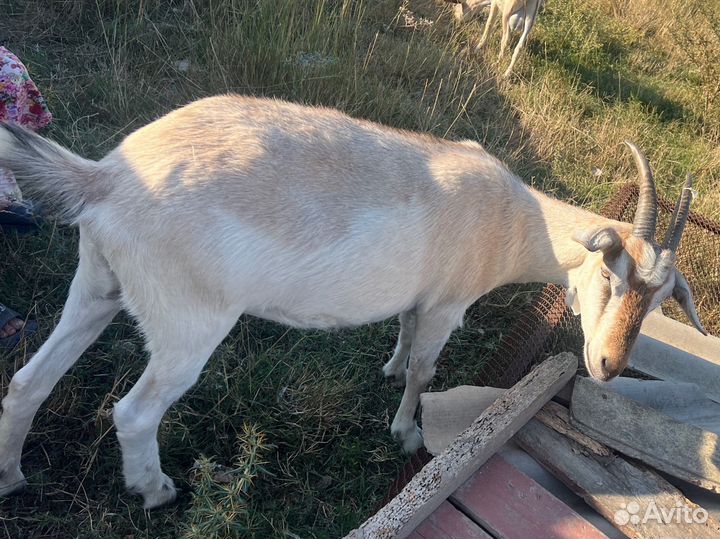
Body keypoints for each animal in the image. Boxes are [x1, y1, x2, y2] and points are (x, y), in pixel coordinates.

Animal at [0, 95, 705, 508]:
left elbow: (403, 329)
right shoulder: (449, 303)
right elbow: (425, 368)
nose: (608, 366)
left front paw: (387, 369)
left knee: (28, 382)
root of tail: (107, 178)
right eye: (611, 276)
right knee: (135, 412)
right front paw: (405, 431)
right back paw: (158, 491)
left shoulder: (420, 297)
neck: (513, 216)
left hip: (97, 283)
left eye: (661, 301)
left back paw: (12, 478)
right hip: (188, 324)